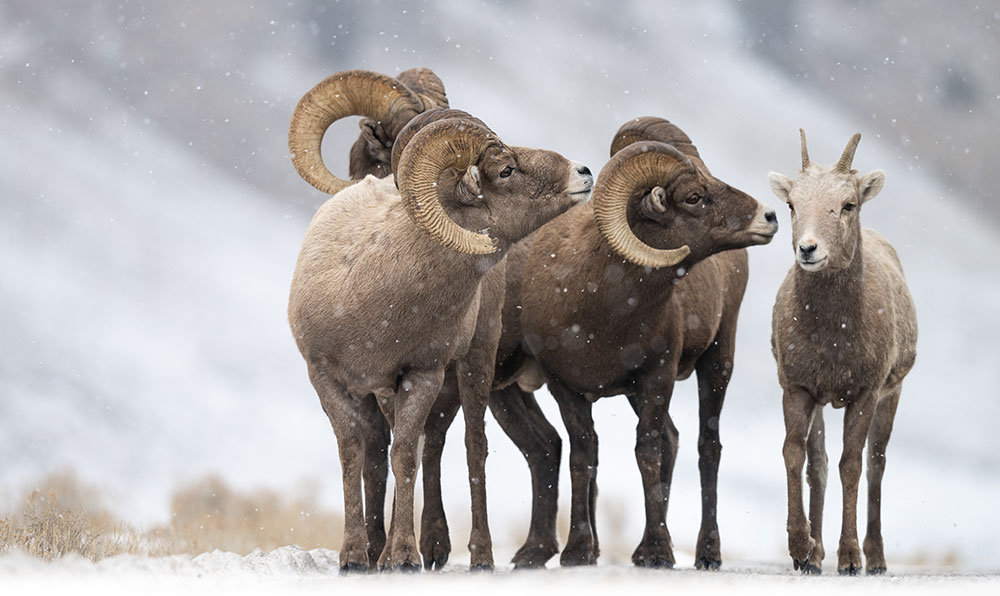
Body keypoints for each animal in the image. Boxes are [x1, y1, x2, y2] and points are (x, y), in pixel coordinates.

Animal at [286, 70, 592, 572]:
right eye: (506, 170)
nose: (583, 173)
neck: (374, 292)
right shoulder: (328, 377)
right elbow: (356, 453)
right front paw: (356, 557)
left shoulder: (422, 374)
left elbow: (406, 455)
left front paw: (403, 557)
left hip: (475, 364)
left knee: (469, 447)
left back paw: (476, 556)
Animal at [422, 116, 780, 568]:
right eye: (695, 197)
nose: (768, 216)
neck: (601, 302)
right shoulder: (567, 387)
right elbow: (584, 453)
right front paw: (579, 552)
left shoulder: (656, 376)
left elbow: (646, 452)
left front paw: (657, 552)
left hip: (717, 361)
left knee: (705, 447)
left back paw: (704, 554)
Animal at [768, 132, 916, 576]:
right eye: (791, 204)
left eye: (848, 204)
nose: (808, 249)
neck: (834, 339)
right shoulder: (798, 388)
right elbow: (796, 455)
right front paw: (801, 548)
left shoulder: (865, 393)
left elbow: (851, 464)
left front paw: (850, 558)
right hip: (821, 403)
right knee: (818, 464)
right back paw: (815, 557)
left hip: (891, 396)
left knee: (876, 464)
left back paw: (876, 559)